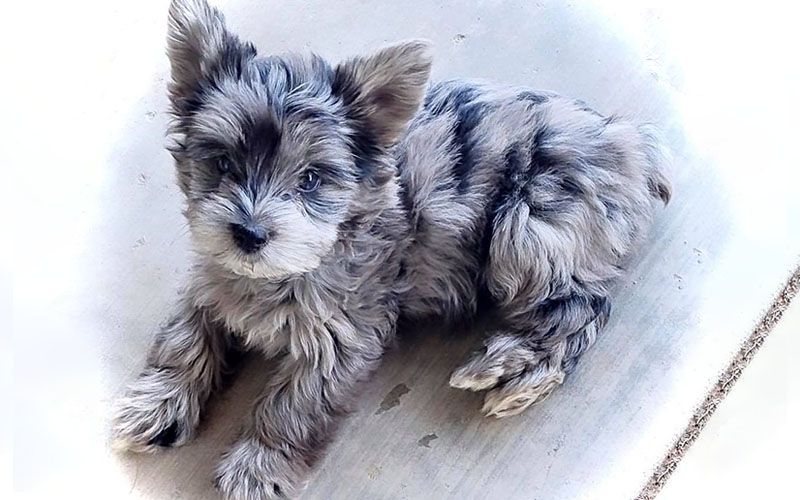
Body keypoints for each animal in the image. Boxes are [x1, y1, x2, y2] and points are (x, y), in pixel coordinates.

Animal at [112, 0, 672, 498]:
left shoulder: (341, 339)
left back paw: (512, 369)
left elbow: (294, 407)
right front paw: (157, 405)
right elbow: (183, 340)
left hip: (529, 226)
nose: (248, 234)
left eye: (311, 178)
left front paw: (259, 466)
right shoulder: (209, 283)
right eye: (223, 164)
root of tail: (629, 143)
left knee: (579, 308)